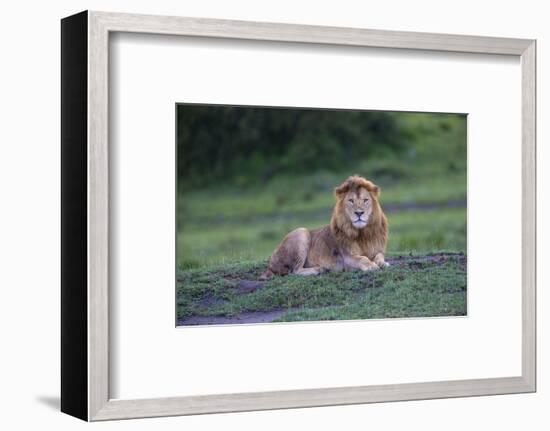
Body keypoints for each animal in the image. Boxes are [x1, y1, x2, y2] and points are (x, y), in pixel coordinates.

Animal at [260, 176, 390, 280]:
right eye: (351, 201)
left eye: (365, 200)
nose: (359, 213)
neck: (362, 233)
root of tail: (270, 264)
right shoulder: (347, 258)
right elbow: (362, 258)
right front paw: (372, 266)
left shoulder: (377, 250)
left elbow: (379, 256)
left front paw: (383, 264)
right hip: (301, 232)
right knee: (294, 271)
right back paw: (320, 269)